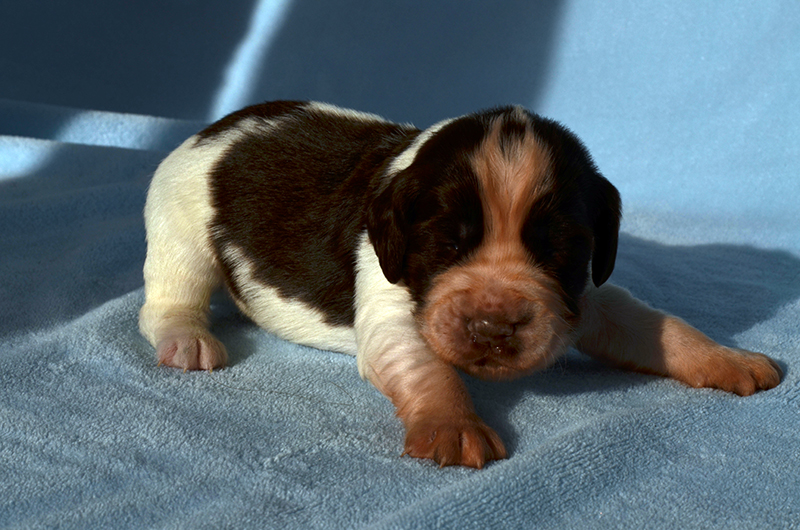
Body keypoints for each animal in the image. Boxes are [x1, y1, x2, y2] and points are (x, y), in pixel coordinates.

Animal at [139, 99, 780, 466]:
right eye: (446, 245)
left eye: (559, 251)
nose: (494, 326)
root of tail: (214, 128)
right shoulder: (390, 304)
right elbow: (427, 367)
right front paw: (453, 426)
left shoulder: (585, 296)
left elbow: (655, 325)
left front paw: (730, 359)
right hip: (179, 226)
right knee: (168, 297)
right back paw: (186, 339)